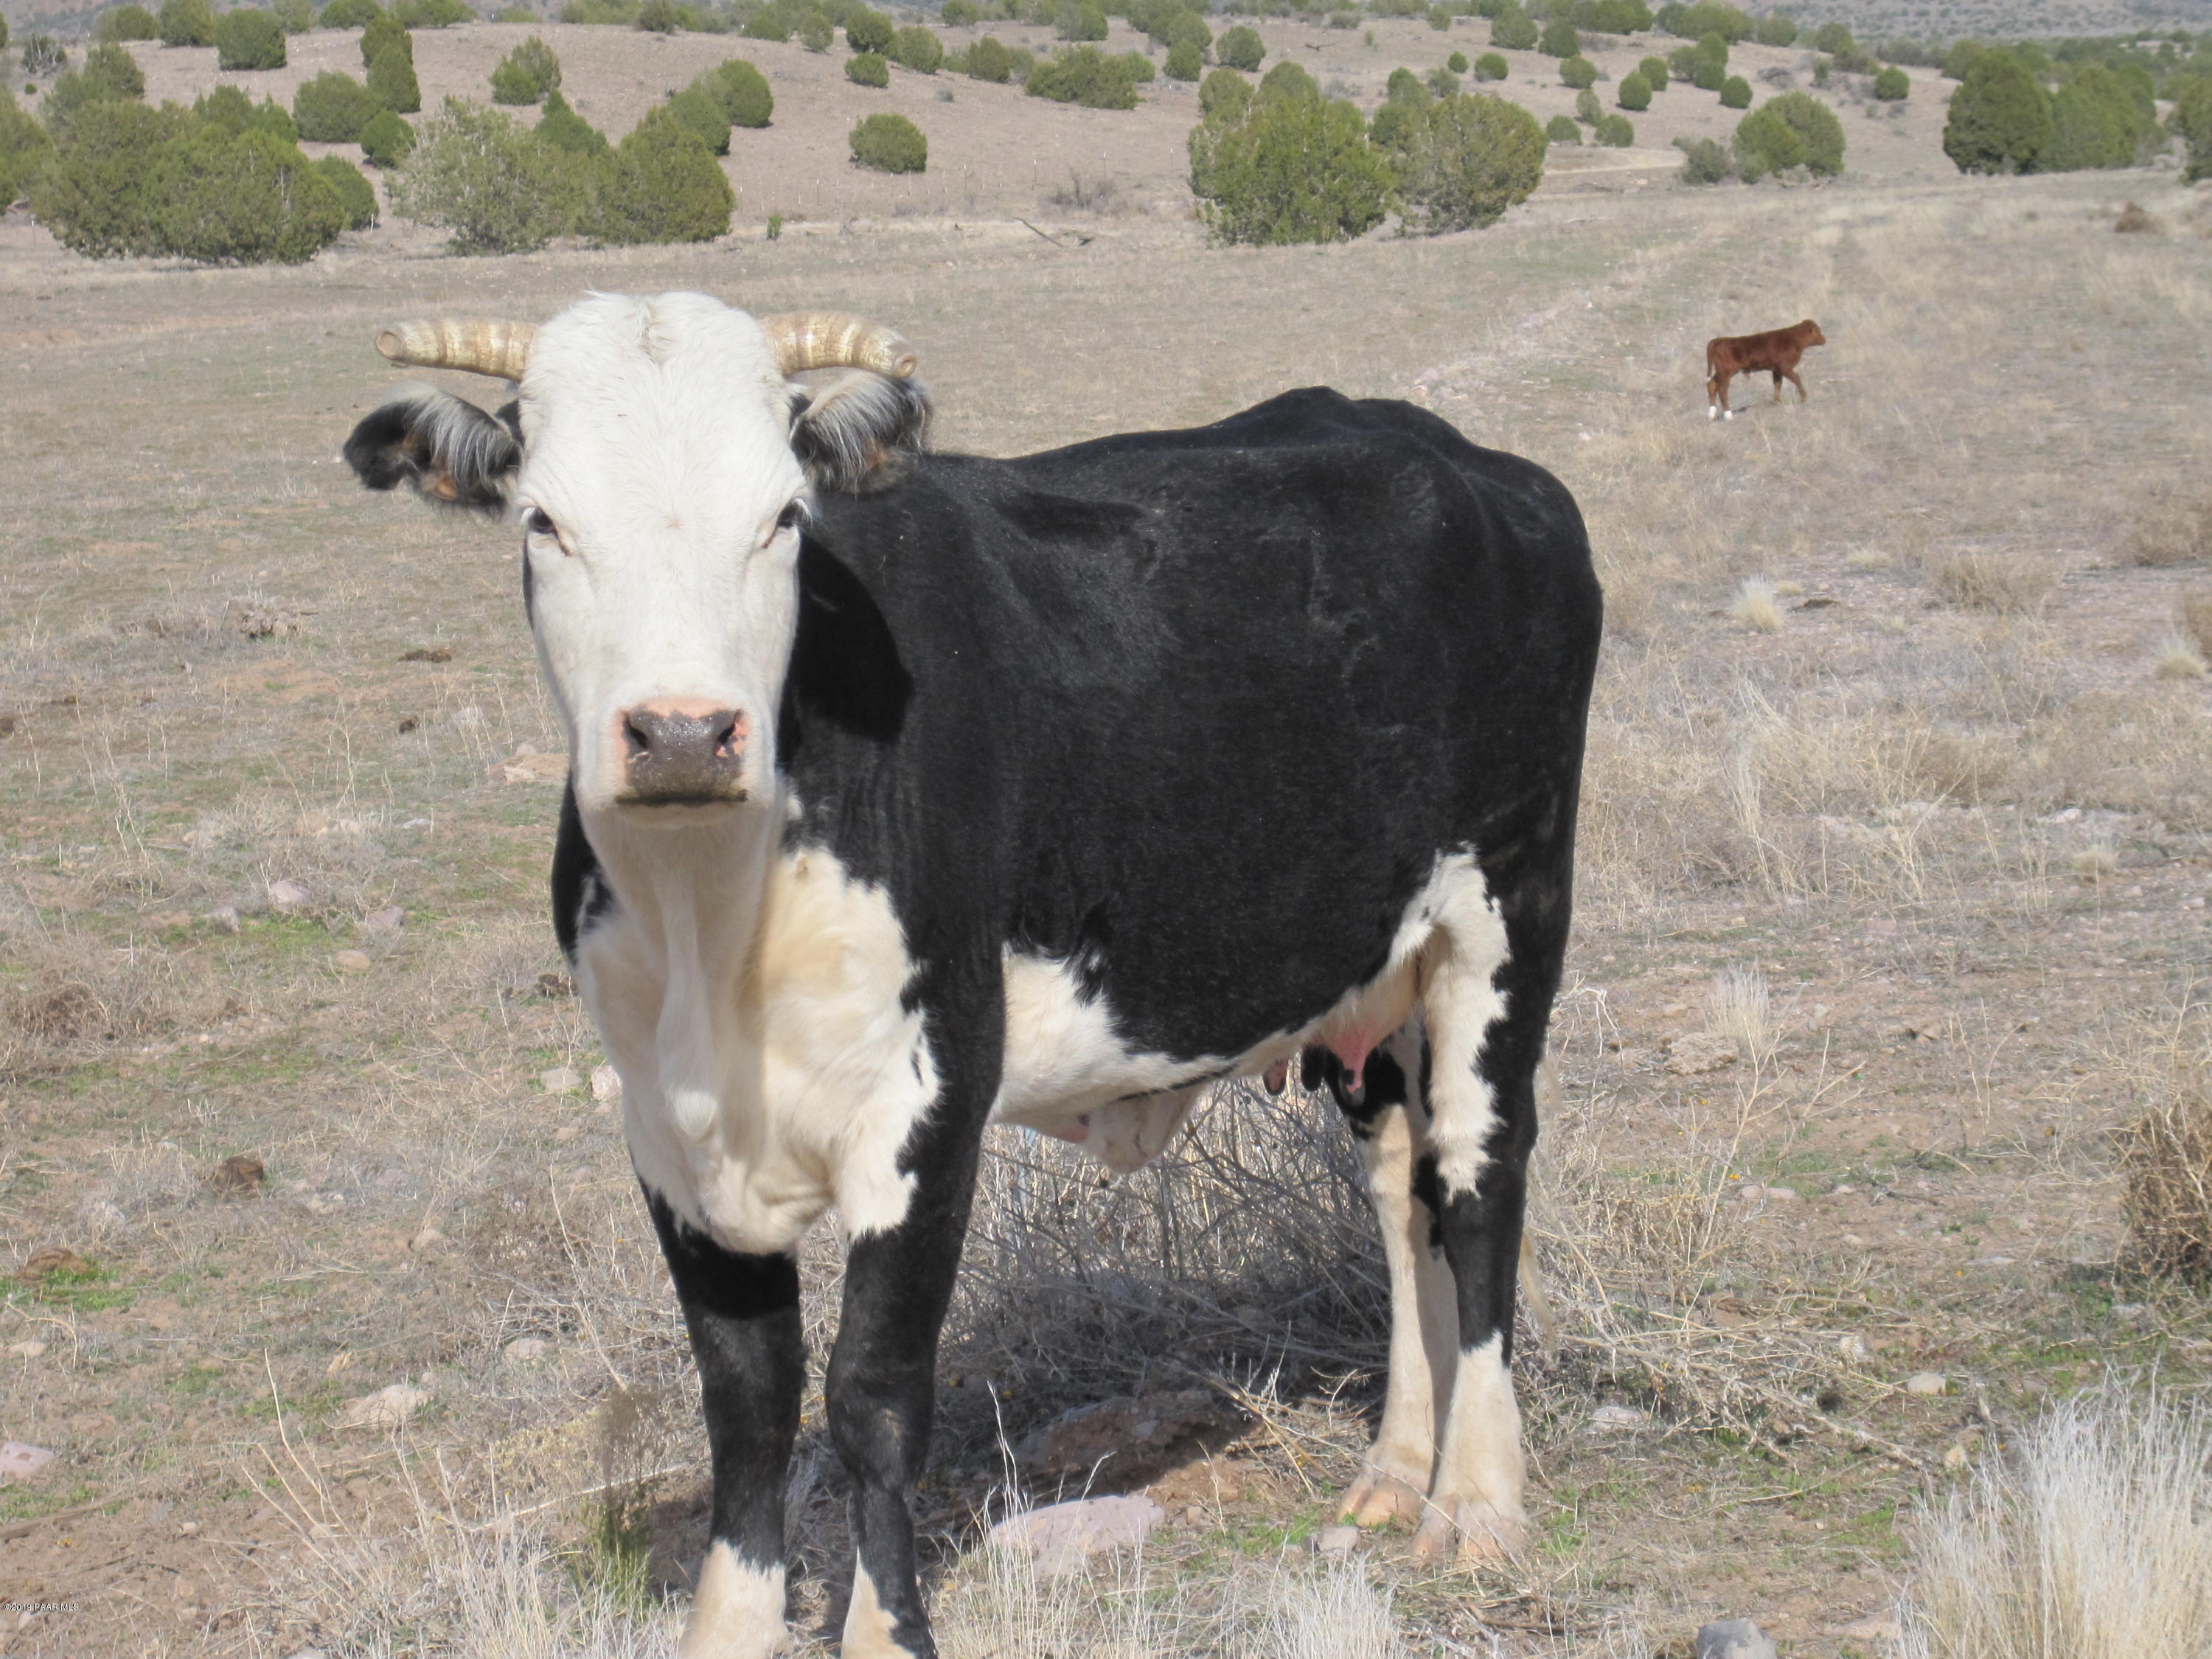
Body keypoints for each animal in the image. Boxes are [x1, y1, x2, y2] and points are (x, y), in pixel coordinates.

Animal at [341, 294, 1602, 1659]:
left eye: (782, 517)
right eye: (545, 521)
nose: (682, 733)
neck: (711, 924)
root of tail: (1468, 463)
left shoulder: (931, 1095)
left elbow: (873, 1398)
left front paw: (887, 1633)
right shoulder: (663, 1131)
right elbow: (745, 1401)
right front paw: (733, 1627)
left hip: (1506, 913)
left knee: (1479, 1179)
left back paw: (1476, 1502)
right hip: (1371, 970)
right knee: (1402, 1185)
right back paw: (1397, 1468)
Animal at [1706, 318, 1826, 419]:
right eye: (1817, 331)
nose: (1824, 340)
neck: (1793, 340)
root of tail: (1716, 340)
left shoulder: (1777, 369)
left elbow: (1778, 384)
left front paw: (1776, 402)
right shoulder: (1785, 367)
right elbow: (1796, 378)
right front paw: (1803, 397)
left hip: (1721, 373)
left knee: (1712, 385)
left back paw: (1712, 414)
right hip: (1726, 372)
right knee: (1722, 390)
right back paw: (1729, 415)